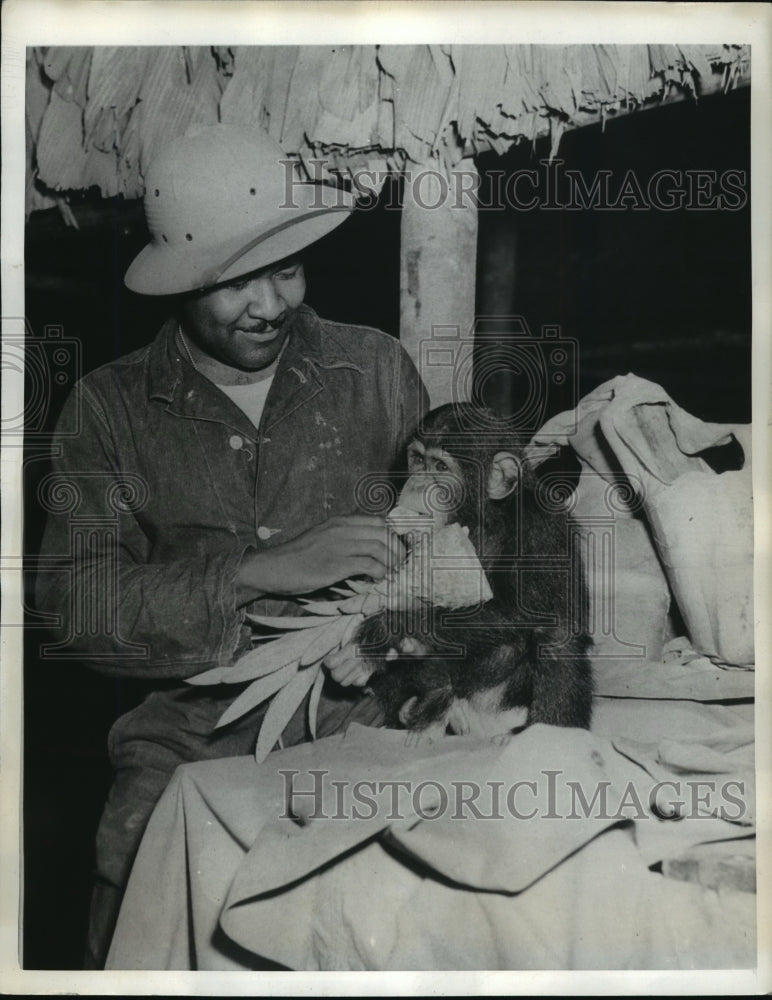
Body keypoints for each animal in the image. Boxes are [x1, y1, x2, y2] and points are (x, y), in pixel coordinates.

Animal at [328, 402, 596, 740]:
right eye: (418, 460)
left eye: (441, 467)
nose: (417, 483)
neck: (483, 518)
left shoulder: (542, 530)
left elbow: (530, 611)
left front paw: (388, 627)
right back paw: (426, 699)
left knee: (556, 633)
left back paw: (542, 734)